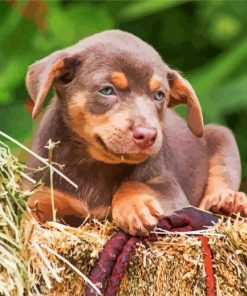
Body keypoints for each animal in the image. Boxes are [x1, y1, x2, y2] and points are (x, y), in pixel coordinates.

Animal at [26, 28, 246, 235]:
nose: (148, 135)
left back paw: (227, 201)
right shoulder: (40, 196)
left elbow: (135, 185)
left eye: (159, 95)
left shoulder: (170, 190)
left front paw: (137, 206)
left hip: (221, 135)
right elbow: (28, 224)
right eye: (107, 90)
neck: (95, 165)